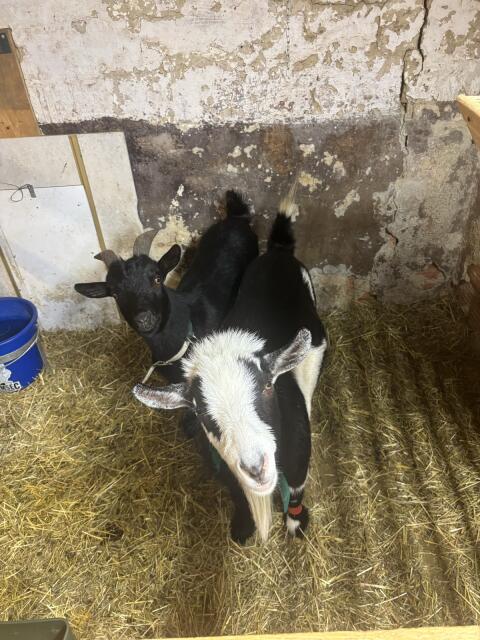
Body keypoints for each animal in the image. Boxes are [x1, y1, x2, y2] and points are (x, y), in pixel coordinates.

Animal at [133, 183, 327, 543]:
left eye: (267, 386)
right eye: (201, 412)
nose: (255, 467)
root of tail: (278, 250)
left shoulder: (298, 460)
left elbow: (297, 488)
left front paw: (296, 524)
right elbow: (237, 496)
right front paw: (242, 528)